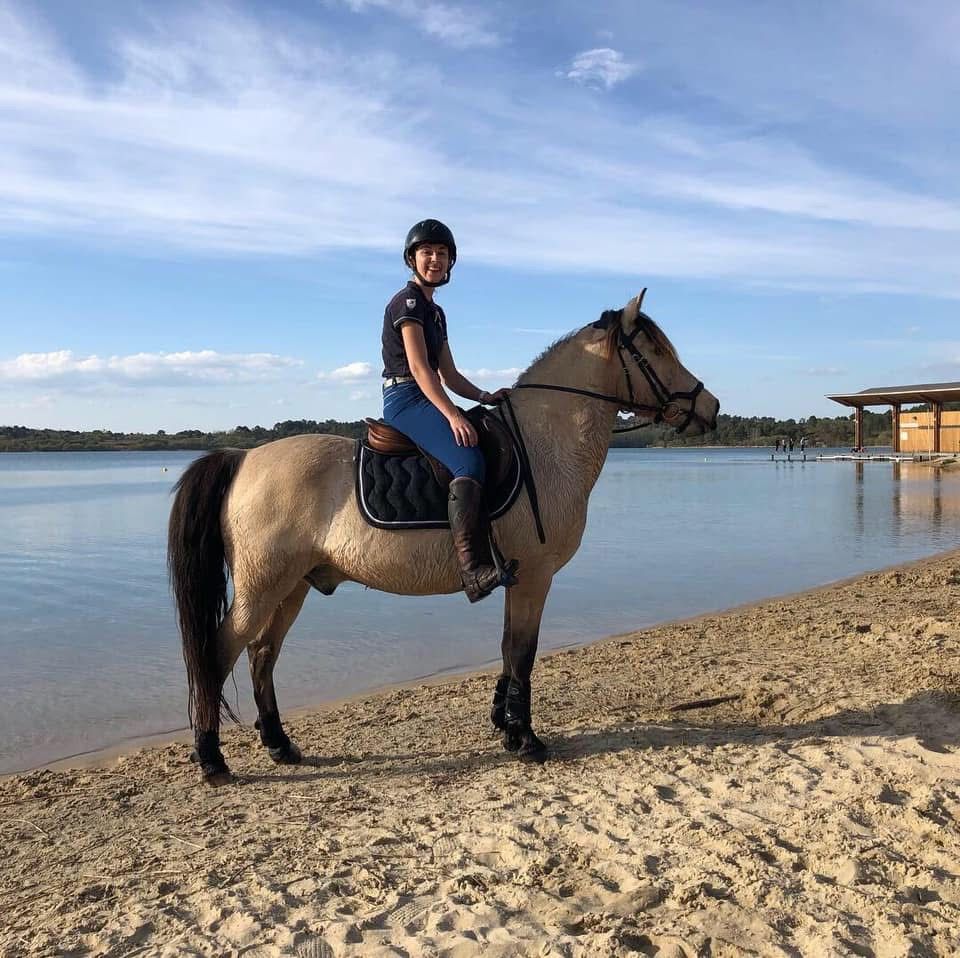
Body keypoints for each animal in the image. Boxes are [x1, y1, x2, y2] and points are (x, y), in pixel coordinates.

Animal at [168, 291, 719, 785]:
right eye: (656, 351)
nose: (711, 406)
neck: (544, 443)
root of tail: (244, 457)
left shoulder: (519, 578)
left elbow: (508, 648)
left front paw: (505, 724)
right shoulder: (535, 577)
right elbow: (522, 652)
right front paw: (526, 739)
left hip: (293, 586)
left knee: (262, 655)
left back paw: (280, 745)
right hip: (264, 587)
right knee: (219, 654)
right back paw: (212, 760)